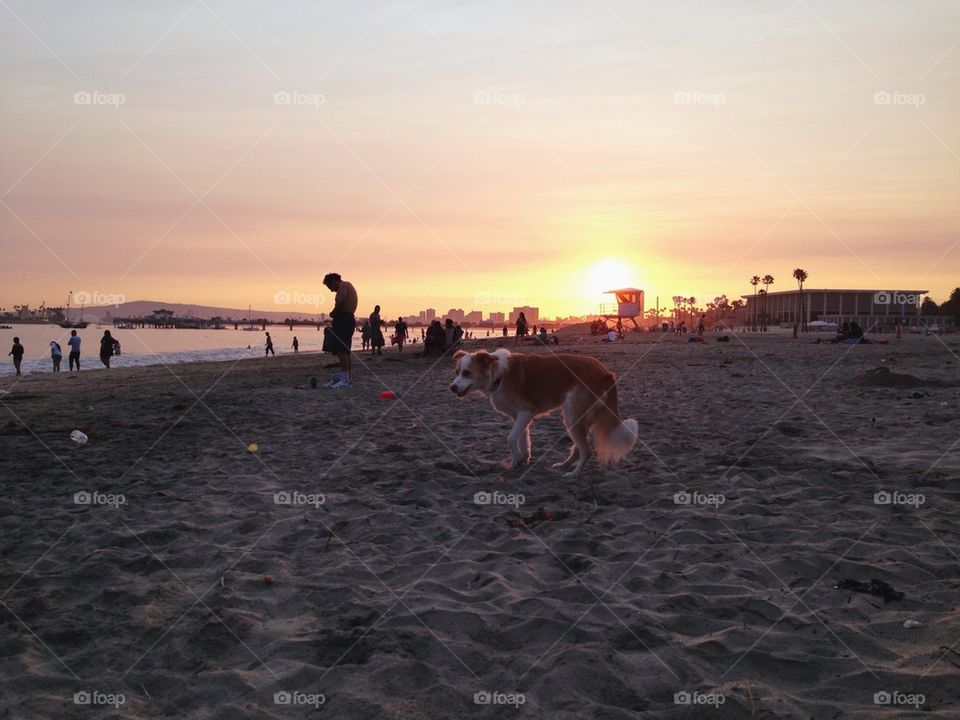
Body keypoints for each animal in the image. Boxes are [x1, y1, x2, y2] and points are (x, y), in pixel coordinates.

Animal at [448, 350, 636, 478]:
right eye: (456, 372)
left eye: (467, 373)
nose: (452, 388)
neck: (499, 375)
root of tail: (606, 373)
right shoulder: (521, 416)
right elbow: (523, 439)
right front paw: (521, 459)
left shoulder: (525, 412)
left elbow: (511, 438)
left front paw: (517, 457)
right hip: (578, 417)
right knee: (578, 448)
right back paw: (564, 465)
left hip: (572, 414)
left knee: (587, 451)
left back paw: (574, 474)